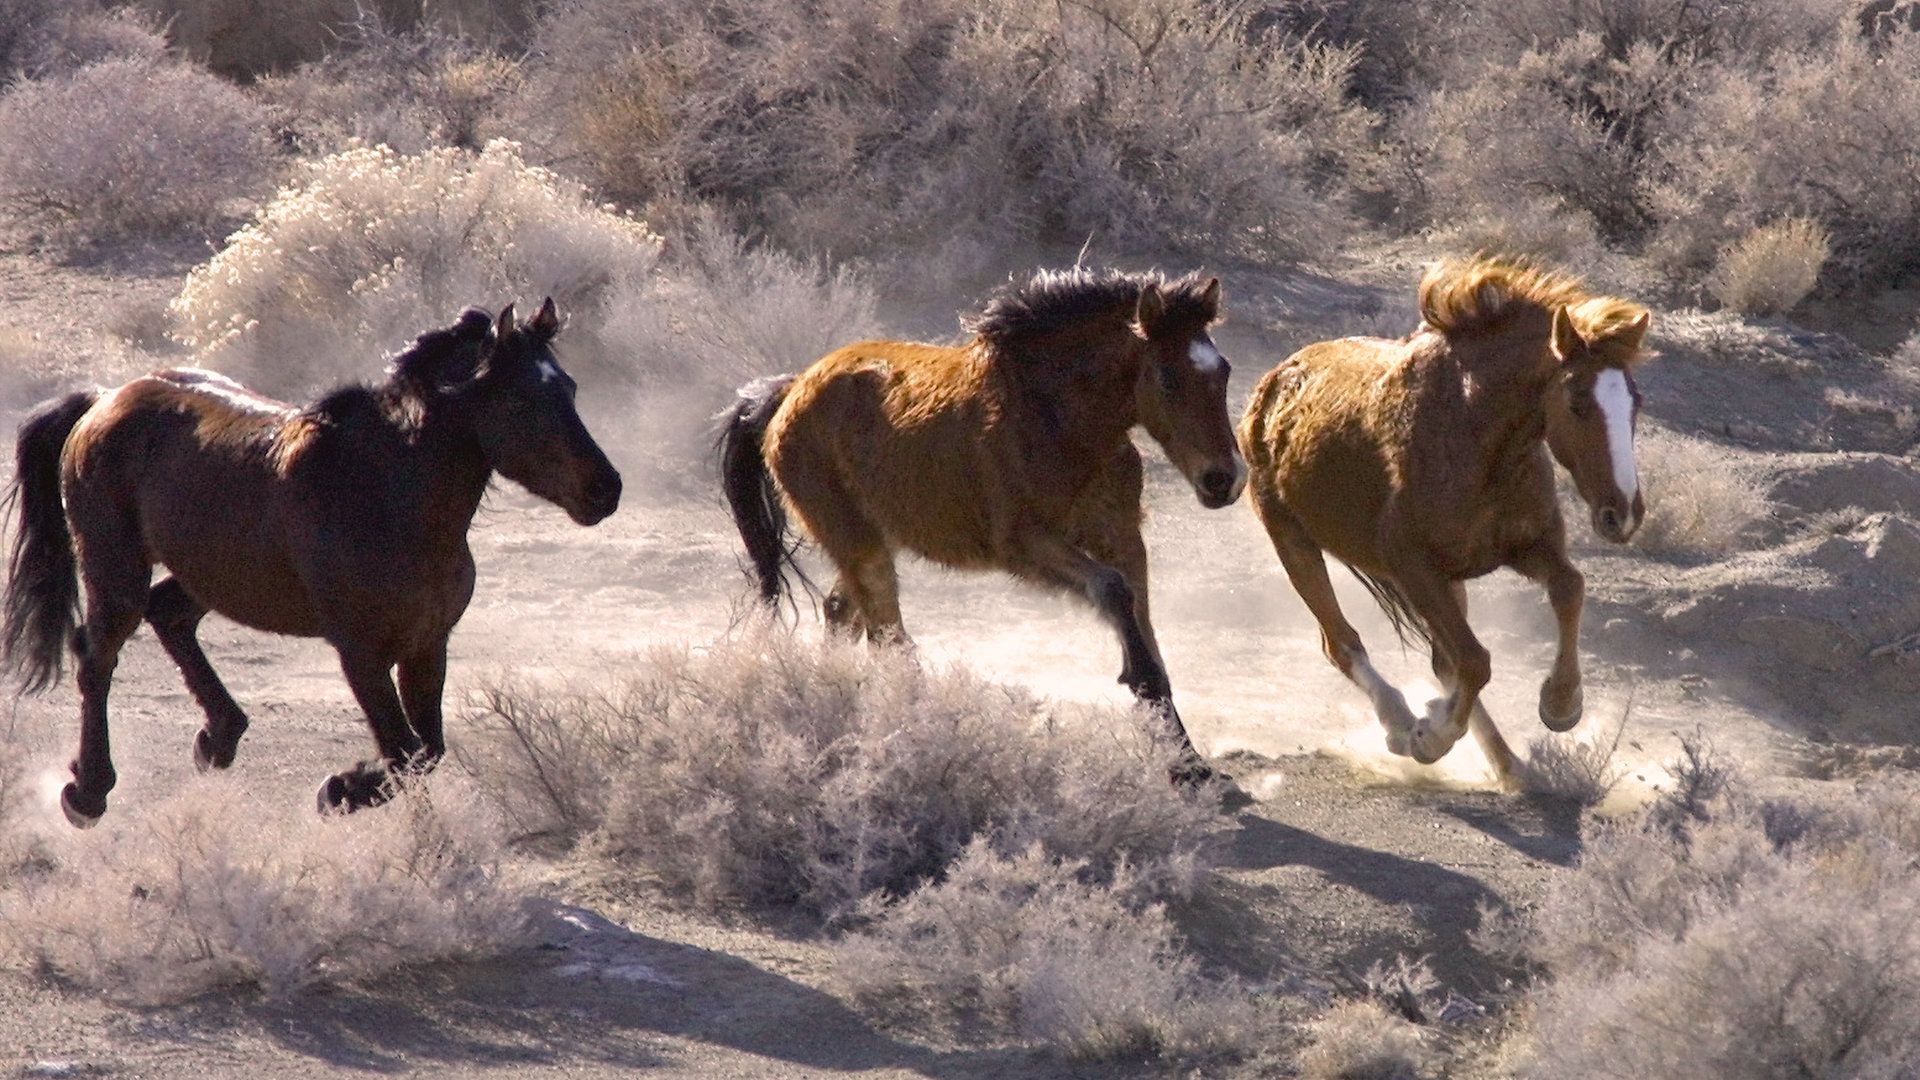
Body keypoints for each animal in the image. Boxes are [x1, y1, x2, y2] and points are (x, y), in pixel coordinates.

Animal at [2, 300, 622, 826]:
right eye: (520, 401)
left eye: (569, 388)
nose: (606, 489)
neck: (387, 496)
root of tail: (102, 400)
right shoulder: (361, 654)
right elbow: (404, 750)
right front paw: (339, 790)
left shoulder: (427, 646)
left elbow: (428, 750)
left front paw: (346, 785)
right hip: (116, 570)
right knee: (96, 657)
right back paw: (88, 793)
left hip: (211, 573)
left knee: (168, 615)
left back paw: (219, 737)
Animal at [716, 267, 1245, 780]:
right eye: (1167, 378)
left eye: (1223, 371)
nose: (1224, 479)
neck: (1054, 419)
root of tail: (789, 391)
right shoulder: (1025, 546)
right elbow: (1114, 593)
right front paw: (1149, 704)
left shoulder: (1122, 539)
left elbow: (1143, 624)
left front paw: (1186, 759)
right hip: (858, 543)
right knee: (888, 639)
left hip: (871, 541)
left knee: (840, 615)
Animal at [1236, 257, 1651, 779]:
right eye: (1577, 402)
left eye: (1635, 402)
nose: (1624, 512)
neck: (1474, 437)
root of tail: (1271, 385)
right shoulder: (1412, 567)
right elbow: (1475, 661)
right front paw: (1431, 736)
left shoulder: (1529, 547)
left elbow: (1568, 589)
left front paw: (1561, 704)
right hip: (1292, 538)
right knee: (1342, 642)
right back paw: (1401, 723)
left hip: (1448, 582)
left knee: (1440, 660)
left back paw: (1508, 766)